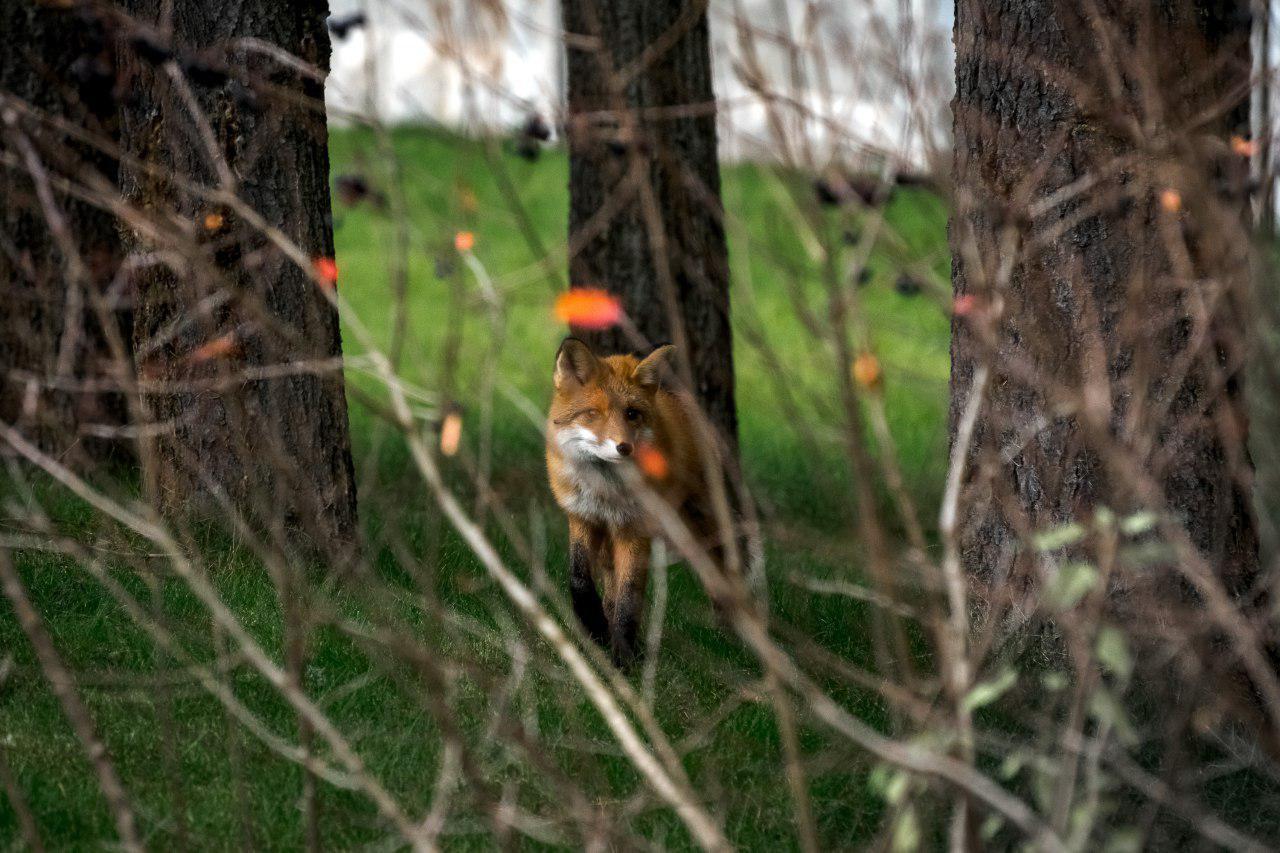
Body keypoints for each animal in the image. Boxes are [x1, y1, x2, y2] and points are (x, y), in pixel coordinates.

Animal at [542, 335, 721, 666]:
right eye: (593, 414)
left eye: (631, 414)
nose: (624, 447)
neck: (605, 492)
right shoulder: (582, 517)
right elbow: (580, 579)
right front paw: (594, 626)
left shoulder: (635, 529)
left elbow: (628, 598)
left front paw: (623, 660)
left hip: (702, 524)